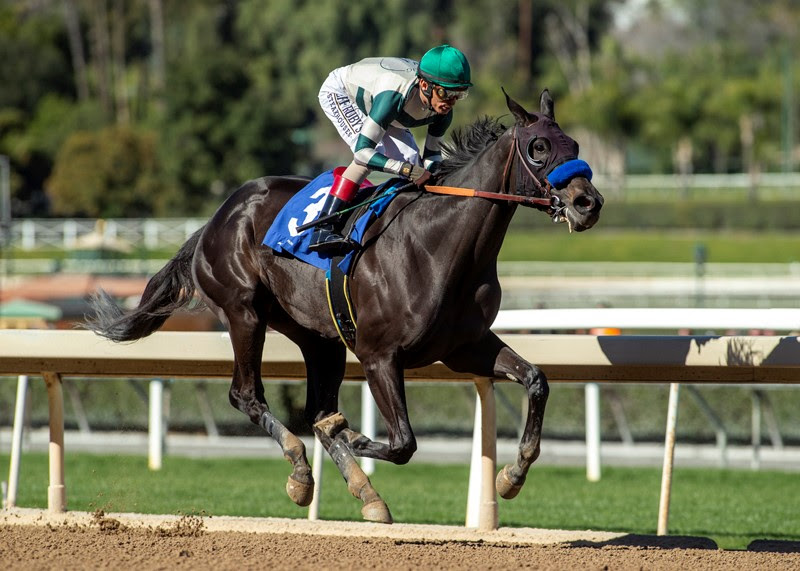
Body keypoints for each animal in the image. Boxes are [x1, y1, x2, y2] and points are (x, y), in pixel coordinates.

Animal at [87, 89, 603, 524]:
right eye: (538, 147)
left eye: (575, 142)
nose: (588, 203)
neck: (439, 244)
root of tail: (215, 219)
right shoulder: (379, 356)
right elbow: (403, 442)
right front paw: (353, 435)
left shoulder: (464, 346)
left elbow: (536, 380)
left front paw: (511, 476)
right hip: (244, 313)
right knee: (247, 396)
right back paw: (301, 471)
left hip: (320, 338)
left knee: (317, 409)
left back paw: (365, 493)